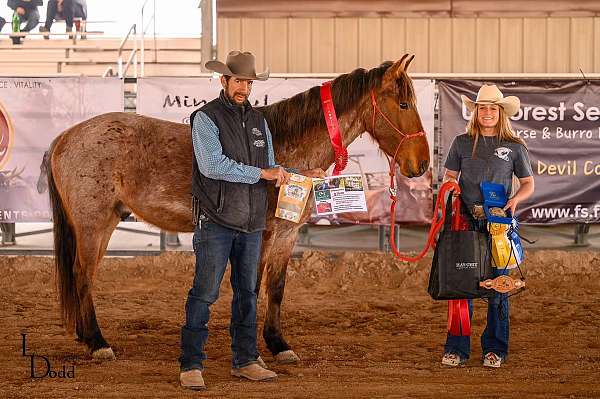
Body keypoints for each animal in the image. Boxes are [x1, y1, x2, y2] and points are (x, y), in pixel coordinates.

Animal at [48, 54, 432, 362]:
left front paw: (278, 344)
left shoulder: (287, 234)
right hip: (93, 224)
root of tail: (66, 136)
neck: (286, 146)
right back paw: (98, 343)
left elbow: (276, 286)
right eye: (403, 105)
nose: (422, 164)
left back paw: (86, 336)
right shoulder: (261, 234)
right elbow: (252, 285)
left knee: (83, 275)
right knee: (82, 274)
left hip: (106, 221)